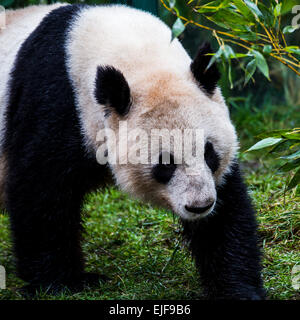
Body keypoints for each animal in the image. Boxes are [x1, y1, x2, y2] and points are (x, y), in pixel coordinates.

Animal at [0, 2, 264, 298]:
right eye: (166, 163)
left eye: (209, 154)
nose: (200, 206)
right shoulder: (57, 101)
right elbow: (41, 187)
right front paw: (64, 281)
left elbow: (227, 208)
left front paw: (238, 288)